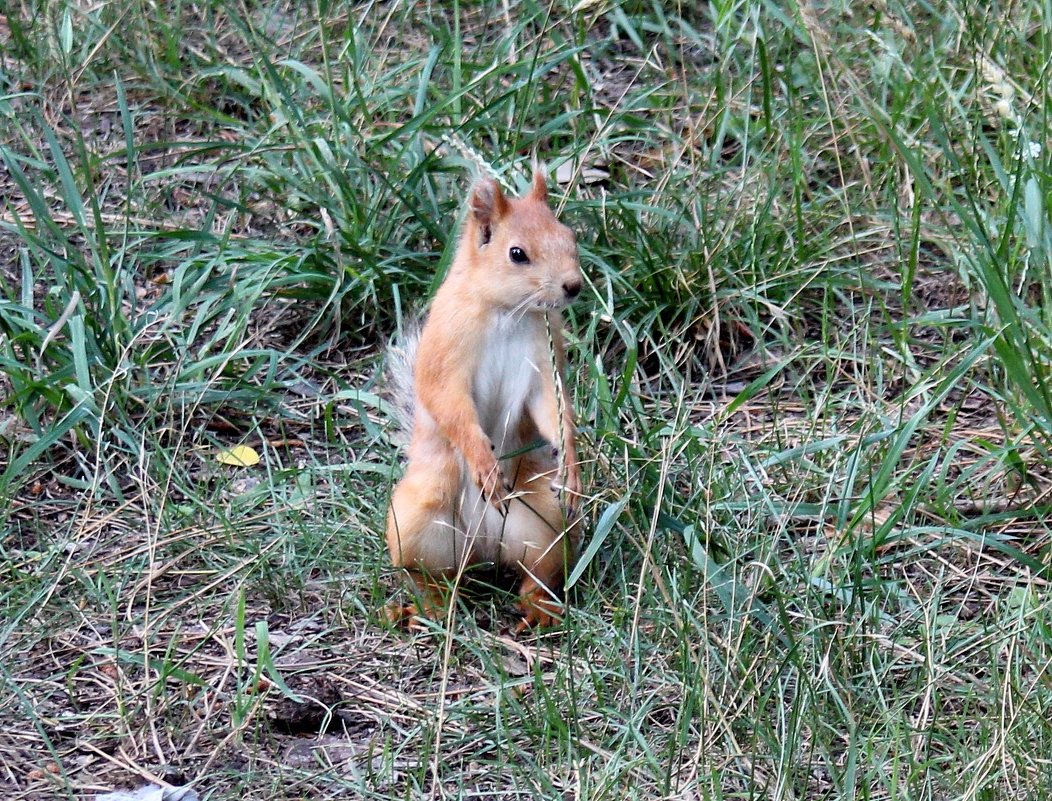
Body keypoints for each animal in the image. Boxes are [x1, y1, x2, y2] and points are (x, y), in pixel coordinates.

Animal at [385, 168, 584, 631]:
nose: (573, 287)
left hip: (546, 523)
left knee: (539, 571)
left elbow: (554, 410)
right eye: (517, 254)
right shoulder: (445, 354)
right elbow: (449, 405)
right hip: (415, 523)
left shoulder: (544, 360)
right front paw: (483, 463)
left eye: (570, 236)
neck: (505, 313)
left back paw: (537, 607)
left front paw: (571, 464)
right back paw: (428, 607)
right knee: (429, 576)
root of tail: (485, 547)